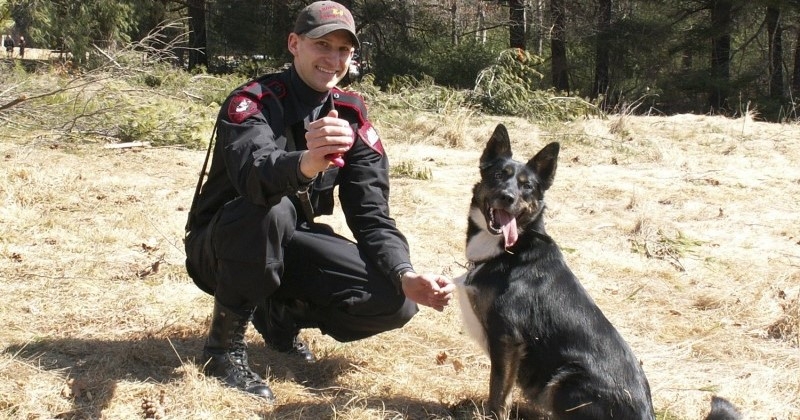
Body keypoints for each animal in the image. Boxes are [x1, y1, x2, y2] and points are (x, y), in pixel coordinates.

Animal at [454, 124, 740, 420]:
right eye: (499, 175)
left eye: (528, 186)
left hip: (567, 377)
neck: (510, 248)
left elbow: (499, 393)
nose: (508, 197)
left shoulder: (507, 339)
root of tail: (647, 414)